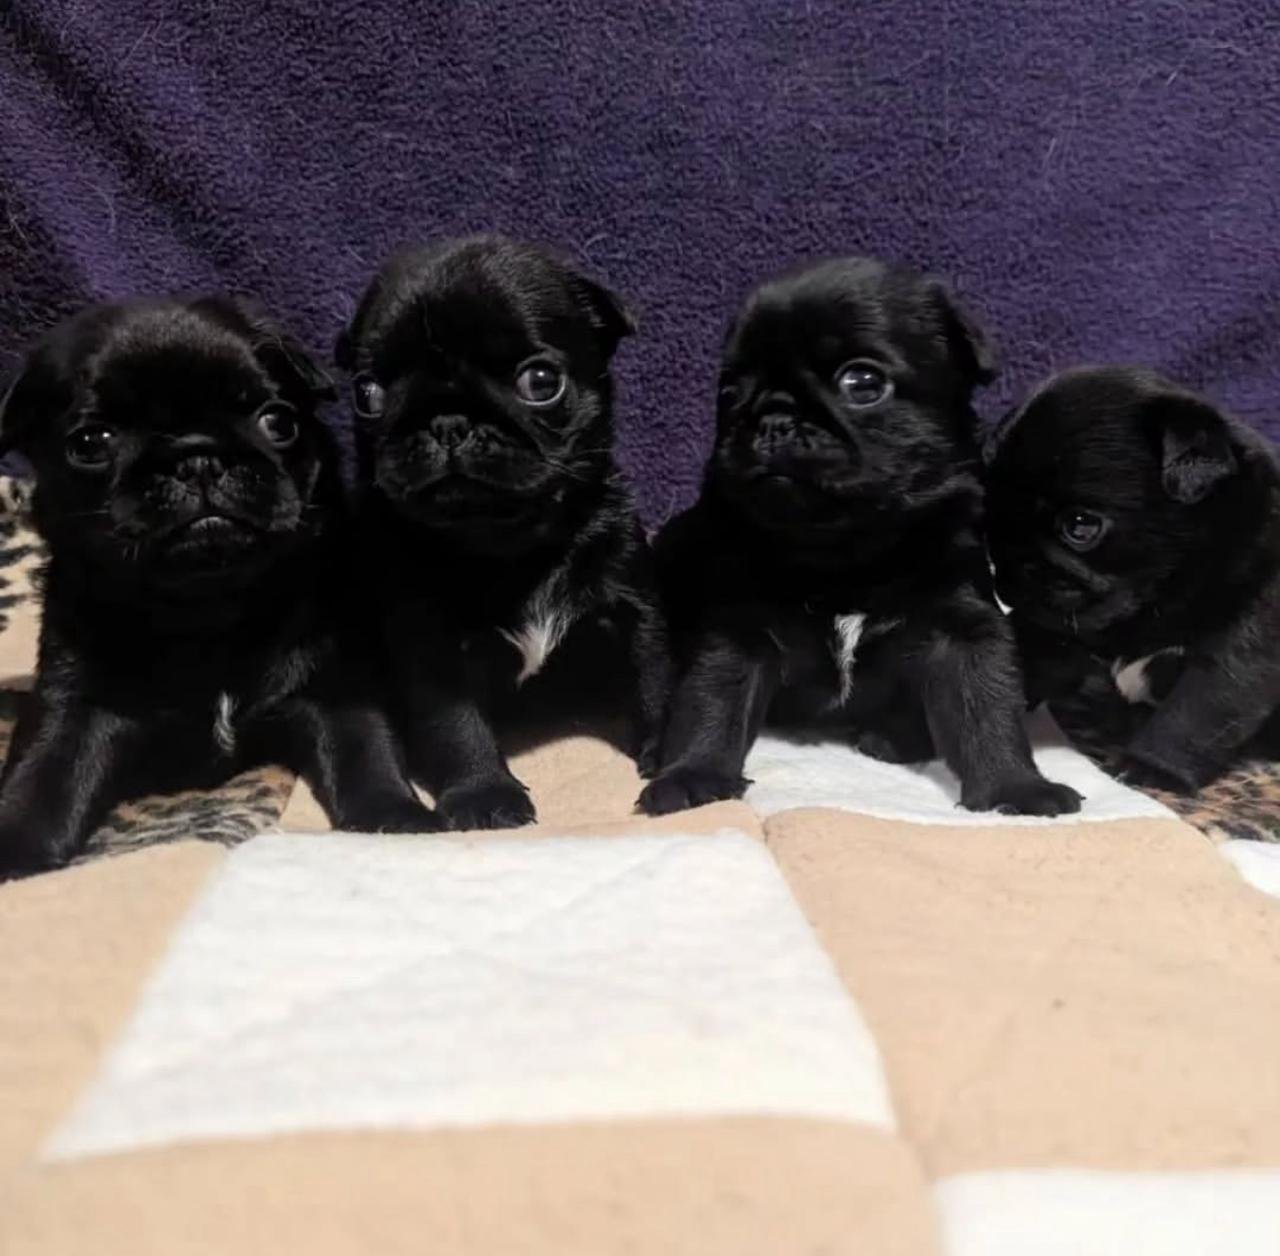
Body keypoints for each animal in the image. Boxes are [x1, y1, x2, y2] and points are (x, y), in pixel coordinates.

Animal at [0, 296, 440, 877]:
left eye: (278, 421)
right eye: (91, 443)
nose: (198, 457)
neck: (208, 609)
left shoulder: (336, 682)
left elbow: (365, 746)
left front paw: (394, 815)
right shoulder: (74, 700)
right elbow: (43, 773)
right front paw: (14, 847)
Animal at [336, 236, 668, 831]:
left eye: (540, 382)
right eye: (367, 394)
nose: (447, 422)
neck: (509, 544)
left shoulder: (634, 606)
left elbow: (653, 677)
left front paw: (668, 753)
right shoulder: (431, 646)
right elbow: (456, 725)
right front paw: (483, 794)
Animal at [638, 256, 1081, 817]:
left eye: (863, 381)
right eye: (730, 393)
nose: (773, 419)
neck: (846, 551)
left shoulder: (962, 628)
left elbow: (986, 707)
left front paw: (1016, 787)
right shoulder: (739, 629)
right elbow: (712, 701)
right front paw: (691, 773)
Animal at [986, 365, 1280, 791]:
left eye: (1079, 525)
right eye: (992, 516)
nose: (1009, 564)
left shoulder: (1239, 649)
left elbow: (1193, 713)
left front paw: (1150, 766)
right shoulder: (1047, 628)